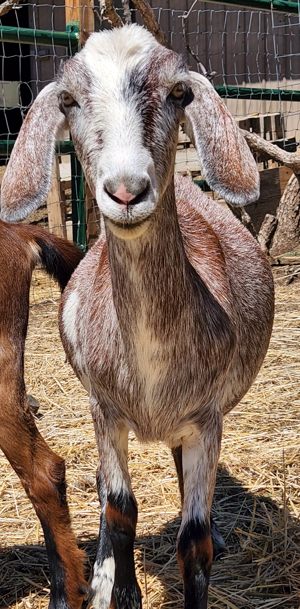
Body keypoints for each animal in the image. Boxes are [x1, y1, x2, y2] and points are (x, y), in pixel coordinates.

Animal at [0, 25, 274, 608]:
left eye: (178, 93)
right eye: (69, 100)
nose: (127, 191)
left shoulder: (207, 418)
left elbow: (194, 542)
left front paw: (206, 539)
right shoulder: (105, 410)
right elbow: (120, 508)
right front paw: (118, 586)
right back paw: (101, 573)